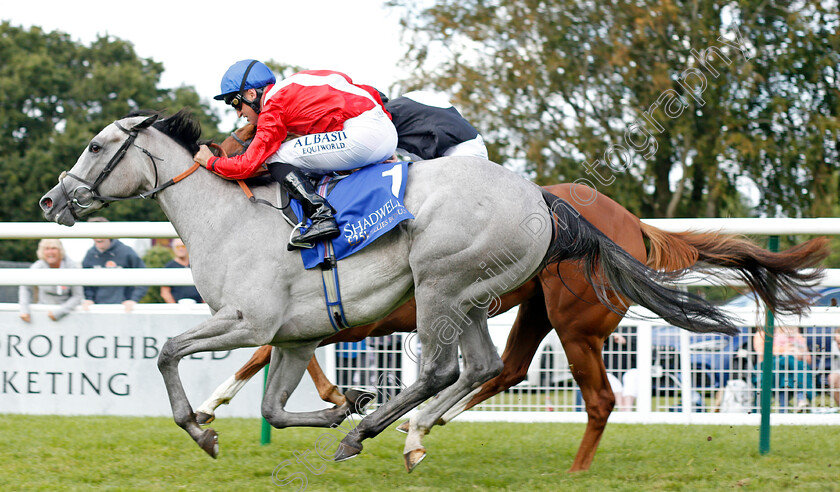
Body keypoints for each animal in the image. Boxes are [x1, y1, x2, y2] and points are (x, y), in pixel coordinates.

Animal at [41, 110, 740, 468]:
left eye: (96, 144)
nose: (51, 200)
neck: (232, 217)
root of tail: (543, 199)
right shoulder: (295, 336)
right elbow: (273, 407)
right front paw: (340, 402)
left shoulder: (251, 321)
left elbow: (168, 352)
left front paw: (202, 426)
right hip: (476, 298)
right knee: (485, 367)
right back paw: (405, 431)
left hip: (452, 287)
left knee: (456, 374)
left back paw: (382, 432)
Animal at [195, 123, 828, 472]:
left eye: (247, 131)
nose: (227, 160)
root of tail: (627, 223)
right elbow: (271, 352)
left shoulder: (347, 310)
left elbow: (264, 349)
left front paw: (216, 405)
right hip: (531, 310)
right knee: (507, 368)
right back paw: (419, 428)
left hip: (573, 325)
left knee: (593, 398)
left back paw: (568, 468)